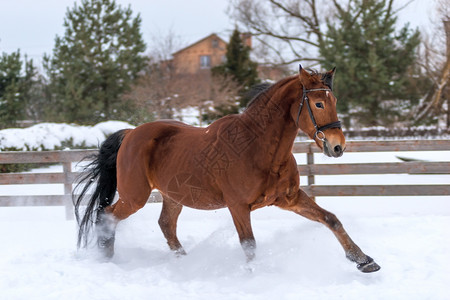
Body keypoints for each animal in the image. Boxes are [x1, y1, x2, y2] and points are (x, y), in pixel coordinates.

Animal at [73, 65, 380, 272]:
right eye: (317, 103)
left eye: (334, 101)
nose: (337, 146)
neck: (257, 148)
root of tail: (130, 134)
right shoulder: (238, 206)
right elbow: (249, 245)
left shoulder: (289, 199)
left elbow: (331, 219)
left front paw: (363, 260)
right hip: (135, 197)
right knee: (106, 216)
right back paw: (107, 258)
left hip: (173, 196)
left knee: (166, 225)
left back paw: (186, 263)